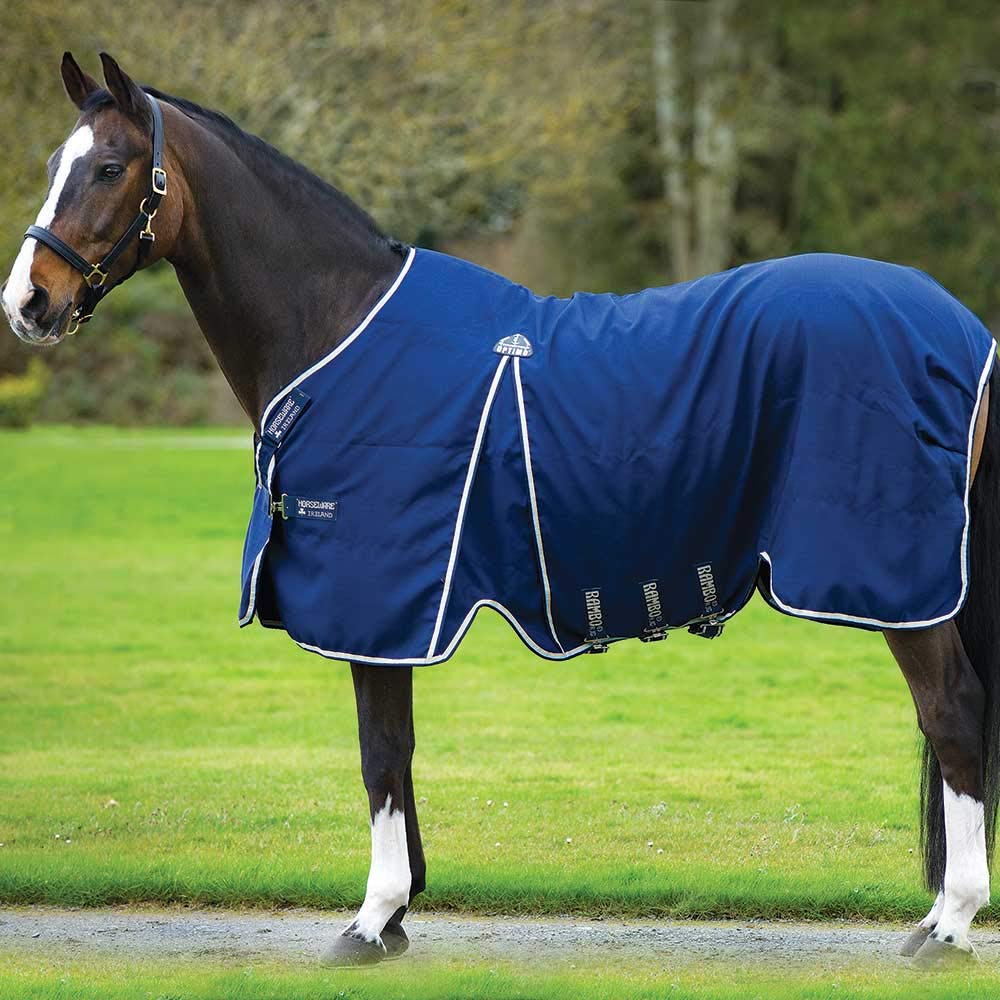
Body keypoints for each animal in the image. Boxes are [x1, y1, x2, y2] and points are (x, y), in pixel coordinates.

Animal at [4, 52, 999, 969]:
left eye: (109, 167)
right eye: (55, 159)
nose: (27, 301)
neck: (338, 325)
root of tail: (962, 327)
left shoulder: (379, 600)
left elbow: (379, 752)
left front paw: (370, 920)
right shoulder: (390, 613)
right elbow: (399, 753)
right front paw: (400, 911)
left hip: (902, 585)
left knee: (952, 714)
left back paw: (947, 927)